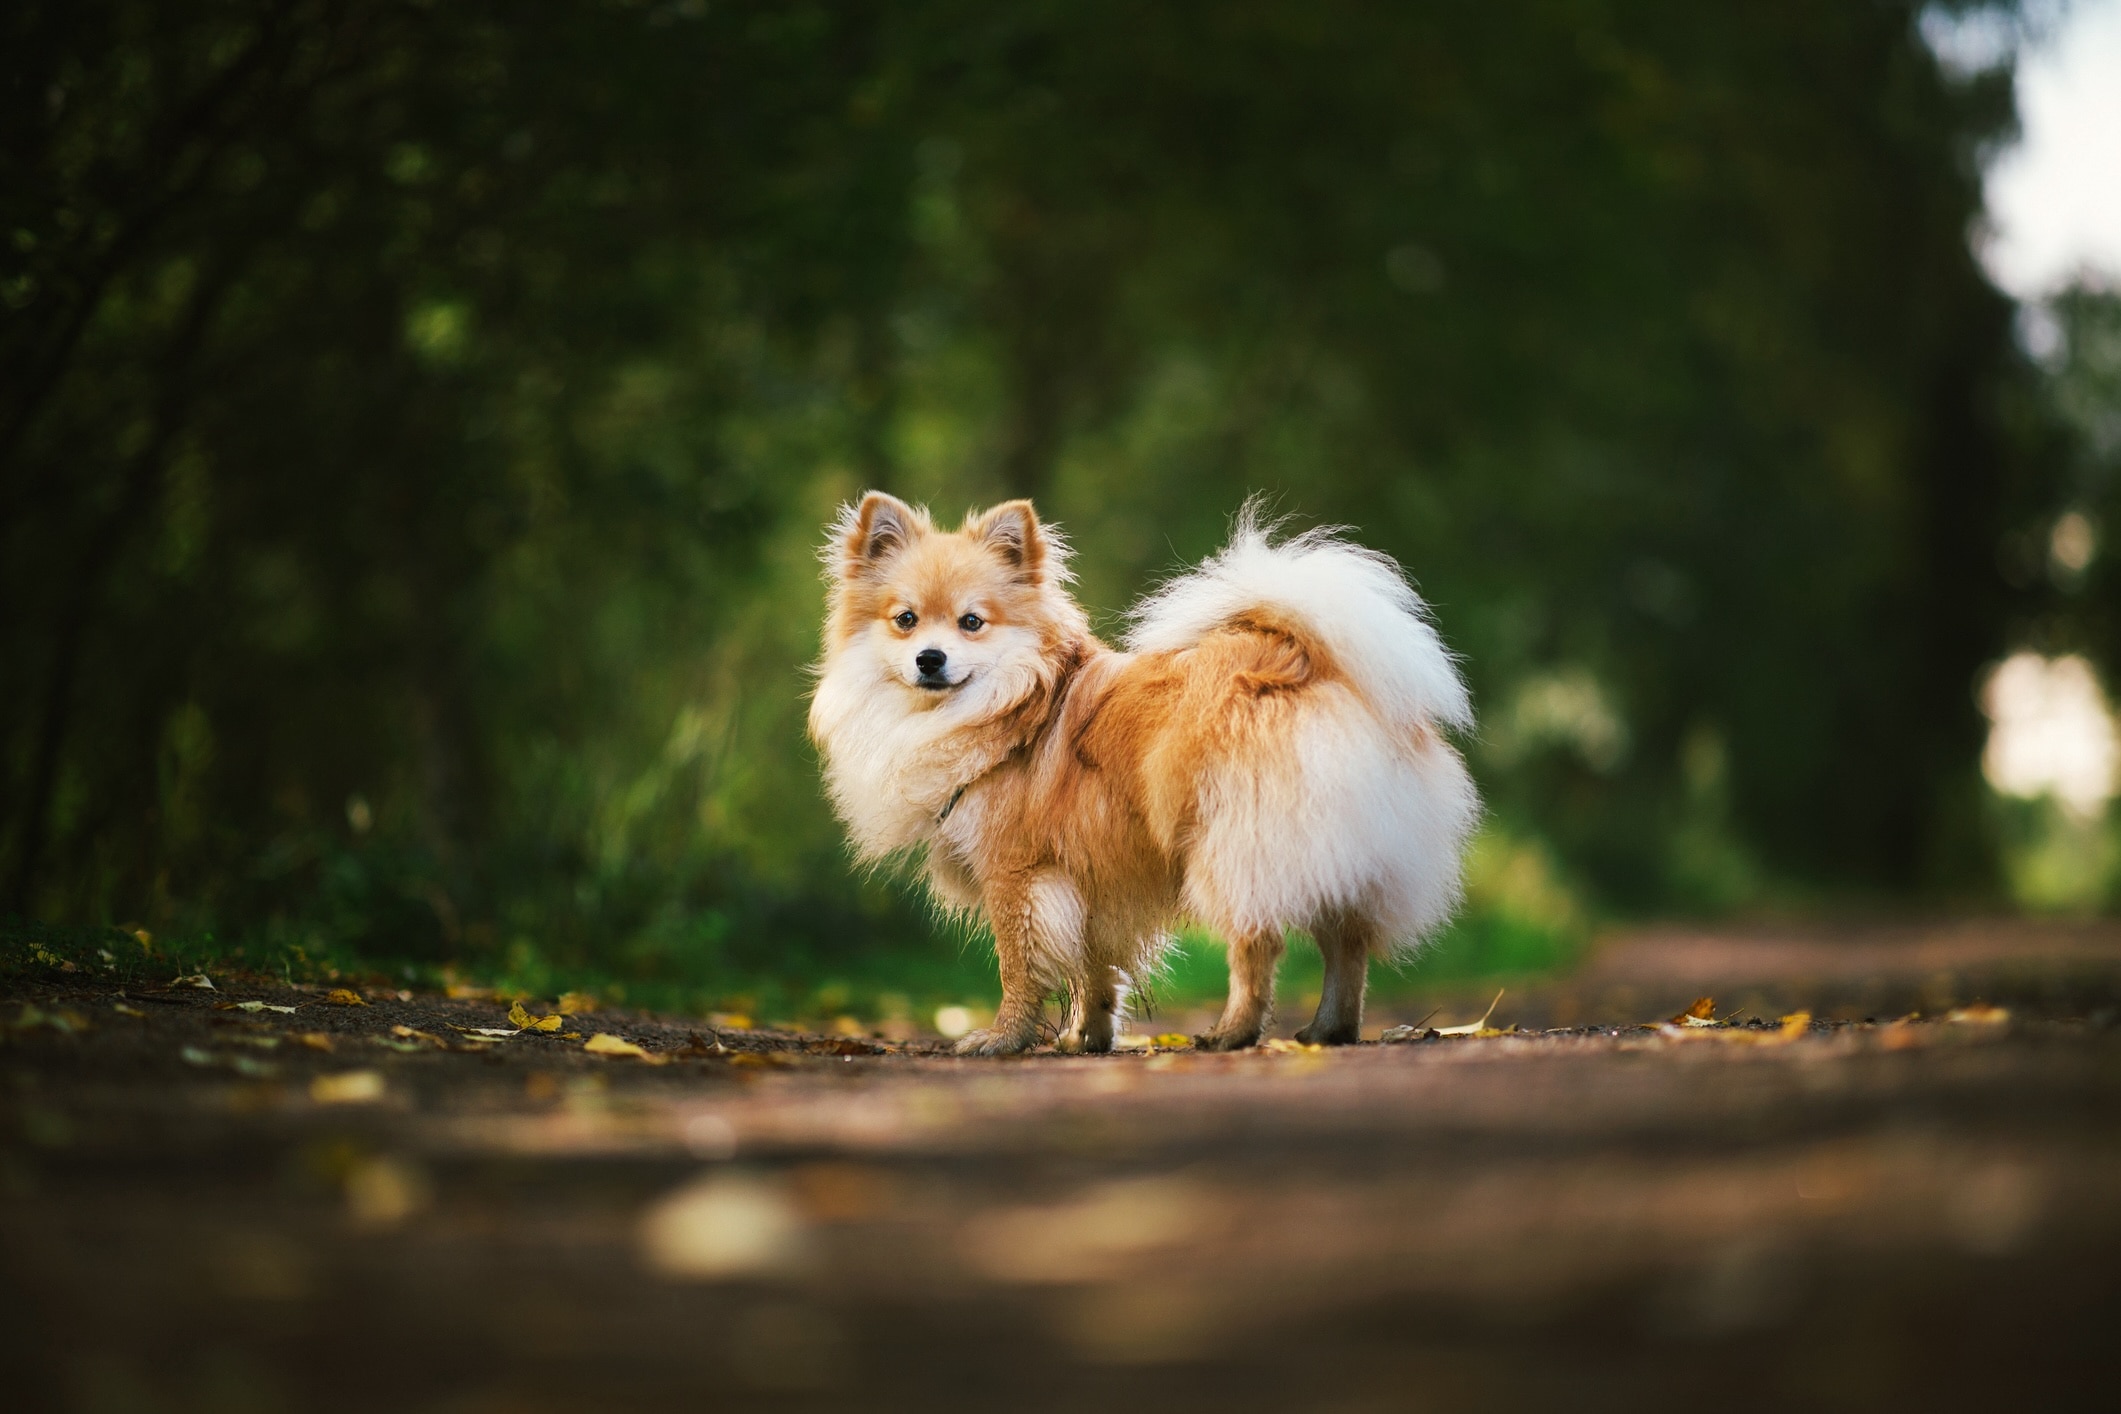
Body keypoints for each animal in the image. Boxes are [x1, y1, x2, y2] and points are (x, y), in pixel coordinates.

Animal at [801, 491, 1484, 1055]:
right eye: (905, 620)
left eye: (972, 622)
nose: (930, 658)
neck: (1005, 706)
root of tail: (1299, 659)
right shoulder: (1089, 878)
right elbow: (1095, 970)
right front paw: (1088, 1038)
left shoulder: (1018, 874)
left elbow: (1019, 968)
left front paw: (1003, 1039)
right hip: (1333, 845)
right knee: (1349, 942)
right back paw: (1329, 1030)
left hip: (1235, 844)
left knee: (1259, 942)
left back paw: (1234, 1033)